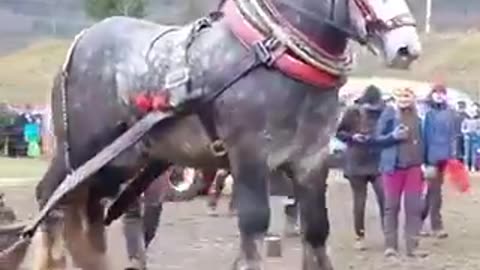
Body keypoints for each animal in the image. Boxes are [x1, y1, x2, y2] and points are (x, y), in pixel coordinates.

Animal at [11, 0, 420, 268]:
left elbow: (316, 231)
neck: (274, 52)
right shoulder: (250, 154)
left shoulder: (310, 159)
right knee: (51, 201)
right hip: (81, 151)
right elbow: (253, 230)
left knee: (89, 215)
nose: (406, 47)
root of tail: (79, 42)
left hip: (118, 161)